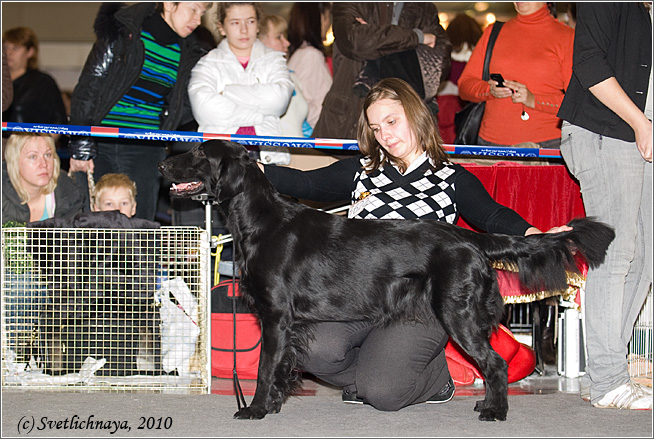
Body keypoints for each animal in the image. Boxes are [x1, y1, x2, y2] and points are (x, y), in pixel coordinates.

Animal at [159, 141, 616, 422]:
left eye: (199, 151)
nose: (163, 163)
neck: (262, 221)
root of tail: (470, 238)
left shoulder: (276, 317)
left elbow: (266, 366)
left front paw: (254, 410)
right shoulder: (290, 325)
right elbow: (282, 366)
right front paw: (271, 406)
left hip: (457, 313)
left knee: (495, 363)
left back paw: (495, 411)